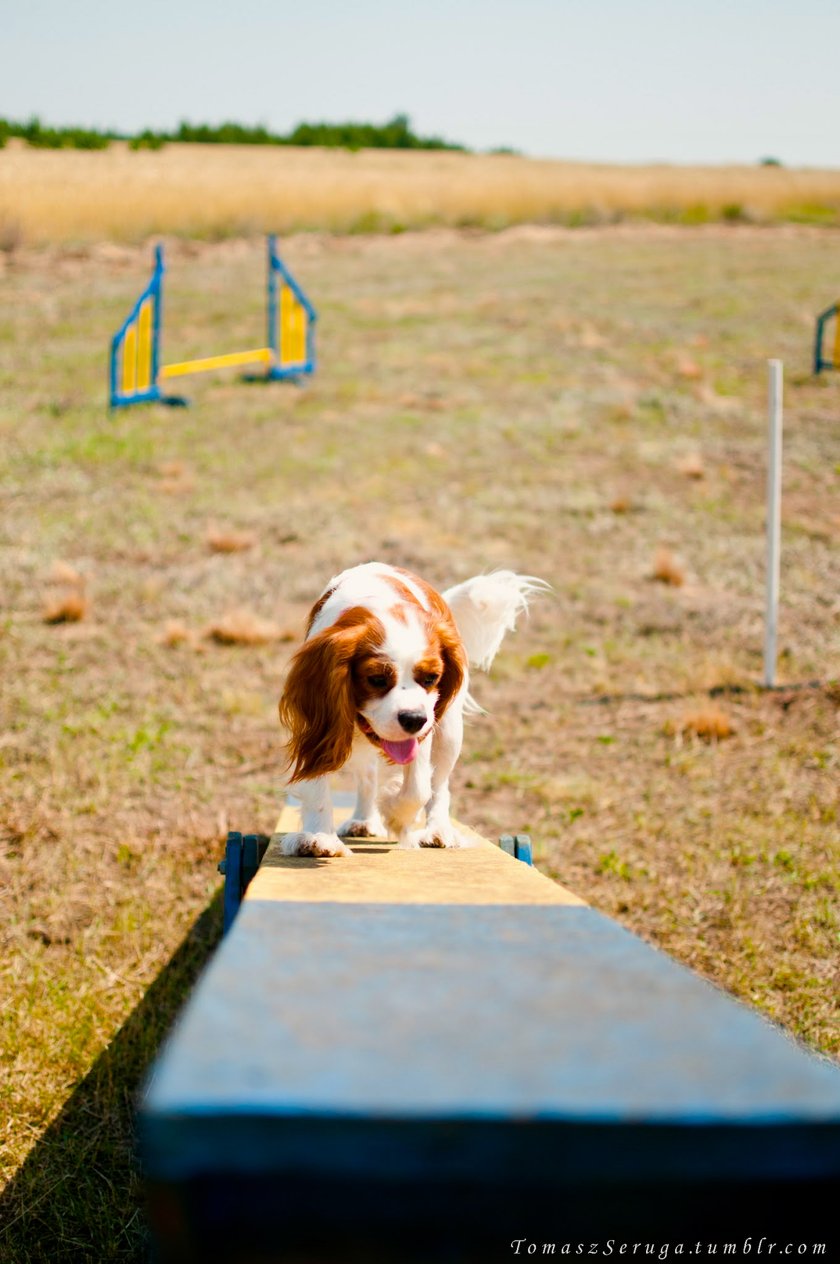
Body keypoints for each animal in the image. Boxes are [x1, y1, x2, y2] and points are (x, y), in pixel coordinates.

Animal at [277, 566, 548, 854]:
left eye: (431, 678)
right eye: (377, 679)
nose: (414, 719)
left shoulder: (424, 733)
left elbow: (418, 789)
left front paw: (395, 814)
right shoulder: (320, 723)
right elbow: (316, 783)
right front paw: (319, 837)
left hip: (449, 733)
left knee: (439, 785)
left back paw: (437, 830)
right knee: (368, 778)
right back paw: (364, 819)